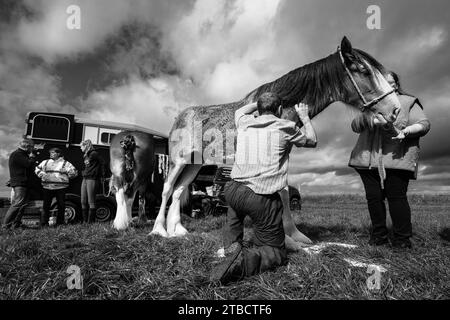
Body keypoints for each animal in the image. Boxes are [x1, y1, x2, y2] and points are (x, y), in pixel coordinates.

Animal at [153, 37, 400, 248]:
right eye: (363, 70)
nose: (395, 110)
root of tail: (180, 117)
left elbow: (283, 191)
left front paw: (295, 234)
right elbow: (280, 193)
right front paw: (290, 237)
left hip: (194, 164)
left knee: (180, 190)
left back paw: (177, 230)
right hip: (178, 161)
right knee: (167, 189)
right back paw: (159, 230)